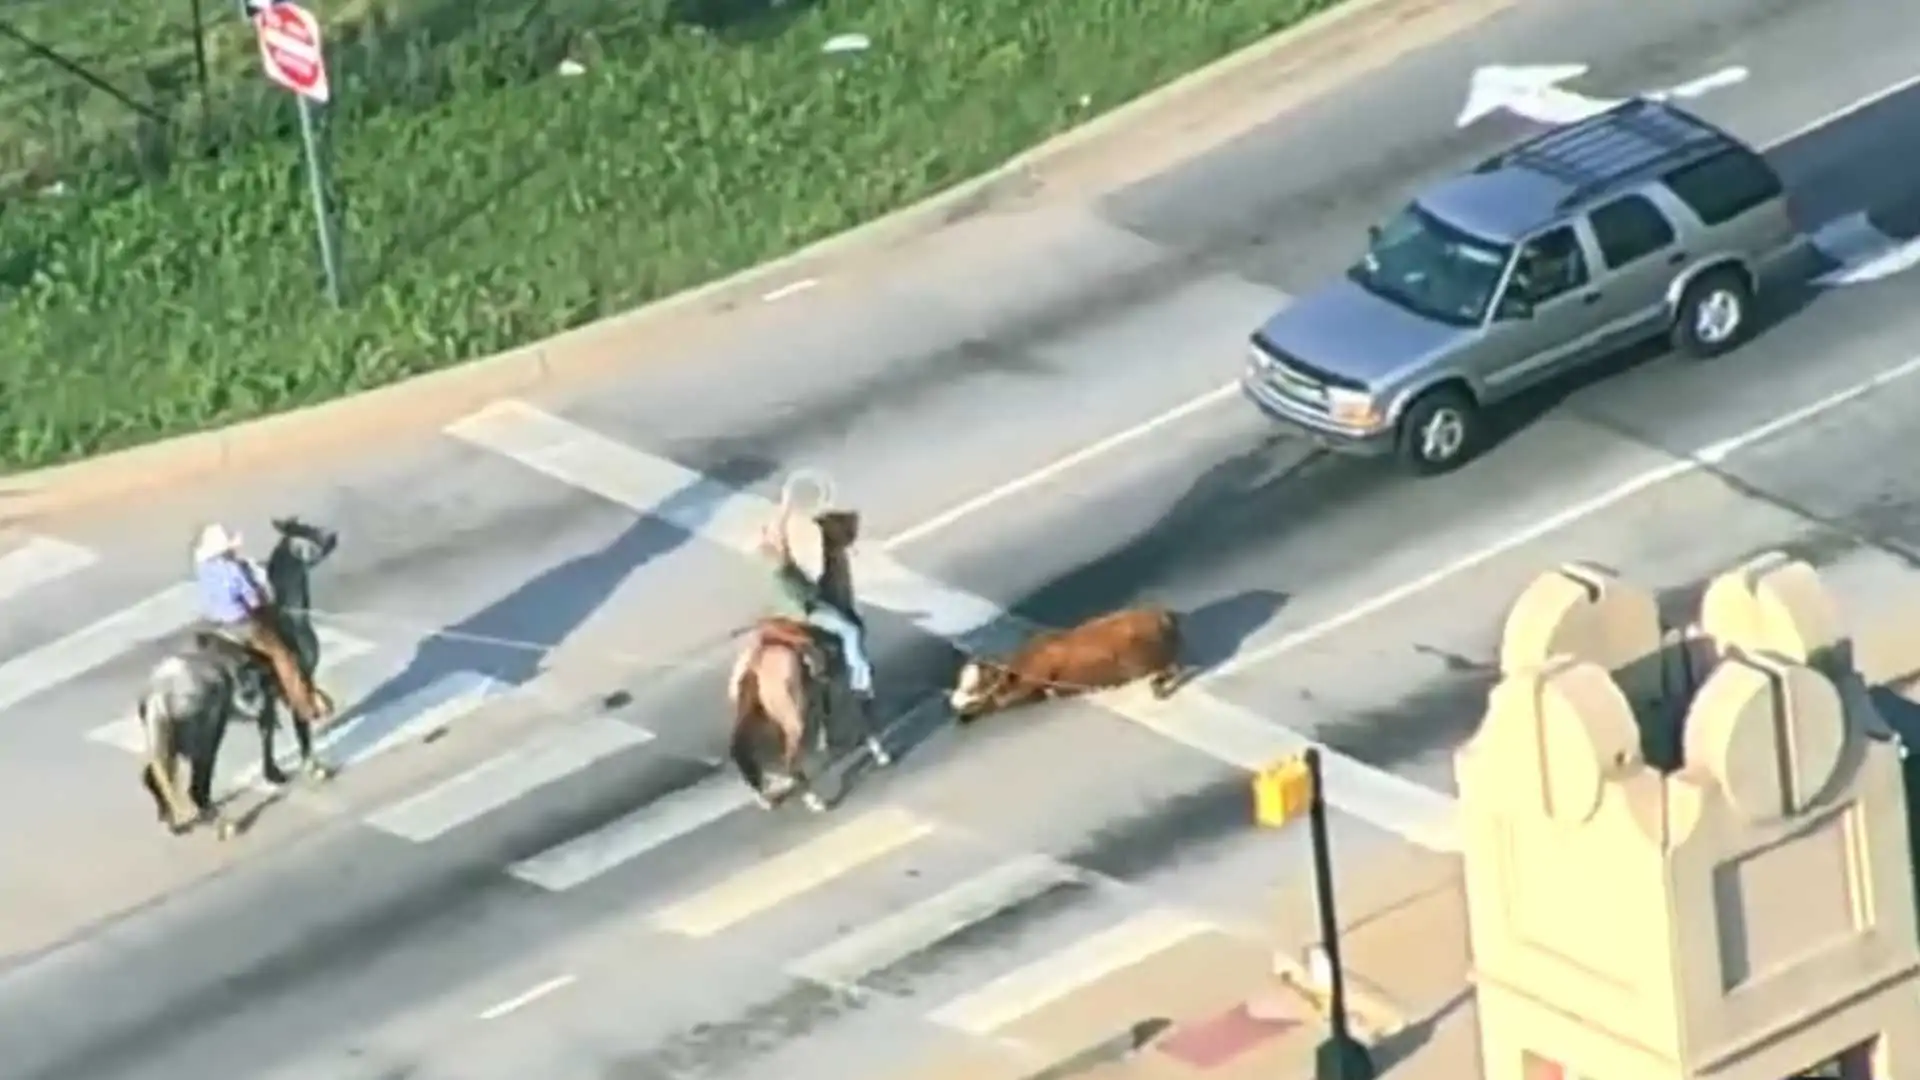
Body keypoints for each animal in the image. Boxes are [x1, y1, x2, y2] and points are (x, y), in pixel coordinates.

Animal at [139, 518, 341, 837]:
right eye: (304, 531)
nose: (333, 535)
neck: (285, 614)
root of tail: (159, 692)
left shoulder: (268, 698)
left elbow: (267, 733)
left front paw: (274, 773)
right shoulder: (299, 682)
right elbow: (302, 729)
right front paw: (316, 768)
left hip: (167, 741)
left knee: (154, 775)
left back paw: (173, 821)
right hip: (205, 737)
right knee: (196, 787)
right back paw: (225, 825)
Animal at [725, 507, 890, 807]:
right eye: (838, 520)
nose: (856, 516)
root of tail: (755, 664)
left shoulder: (826, 684)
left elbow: (827, 717)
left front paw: (828, 745)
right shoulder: (849, 675)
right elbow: (863, 713)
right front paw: (881, 753)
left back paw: (770, 795)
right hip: (793, 717)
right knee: (788, 758)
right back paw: (814, 800)